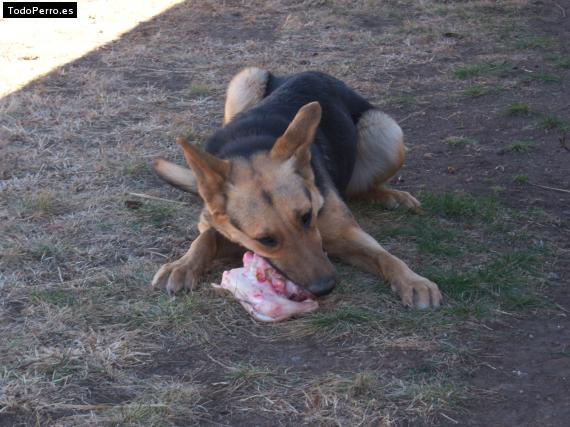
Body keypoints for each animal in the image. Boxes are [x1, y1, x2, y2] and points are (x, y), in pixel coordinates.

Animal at [150, 68, 440, 310]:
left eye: (306, 217)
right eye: (266, 240)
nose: (326, 287)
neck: (249, 144)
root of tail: (311, 73)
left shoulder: (344, 233)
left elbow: (385, 256)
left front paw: (413, 281)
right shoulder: (219, 226)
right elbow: (206, 236)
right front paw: (182, 265)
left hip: (386, 131)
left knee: (362, 186)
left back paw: (391, 196)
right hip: (246, 79)